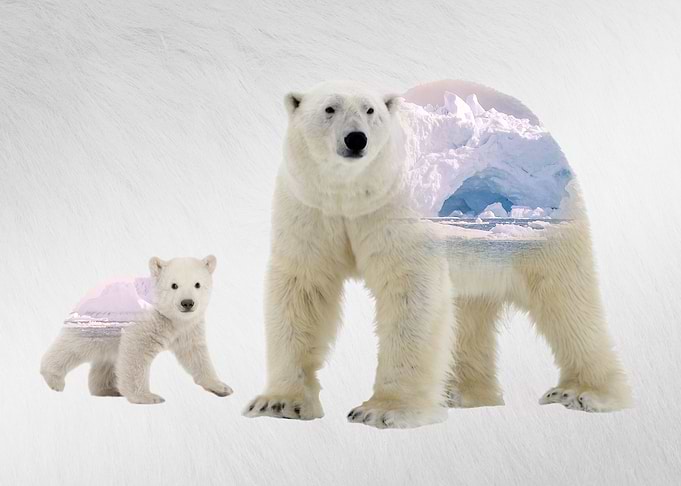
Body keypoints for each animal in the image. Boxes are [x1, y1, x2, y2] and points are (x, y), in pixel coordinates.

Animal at [40, 255, 232, 404]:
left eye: (197, 284)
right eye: (174, 285)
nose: (187, 303)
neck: (171, 317)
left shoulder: (188, 327)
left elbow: (195, 354)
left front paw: (221, 387)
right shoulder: (146, 321)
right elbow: (136, 354)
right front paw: (148, 397)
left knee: (108, 359)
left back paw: (108, 389)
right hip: (99, 323)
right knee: (75, 346)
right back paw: (54, 378)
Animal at [244, 80, 631, 429]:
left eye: (370, 110)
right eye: (329, 108)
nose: (356, 139)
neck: (351, 193)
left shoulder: (399, 210)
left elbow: (410, 292)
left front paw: (383, 411)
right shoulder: (309, 207)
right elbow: (303, 287)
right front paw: (279, 403)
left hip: (546, 235)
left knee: (568, 302)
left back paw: (583, 393)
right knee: (470, 310)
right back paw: (462, 393)